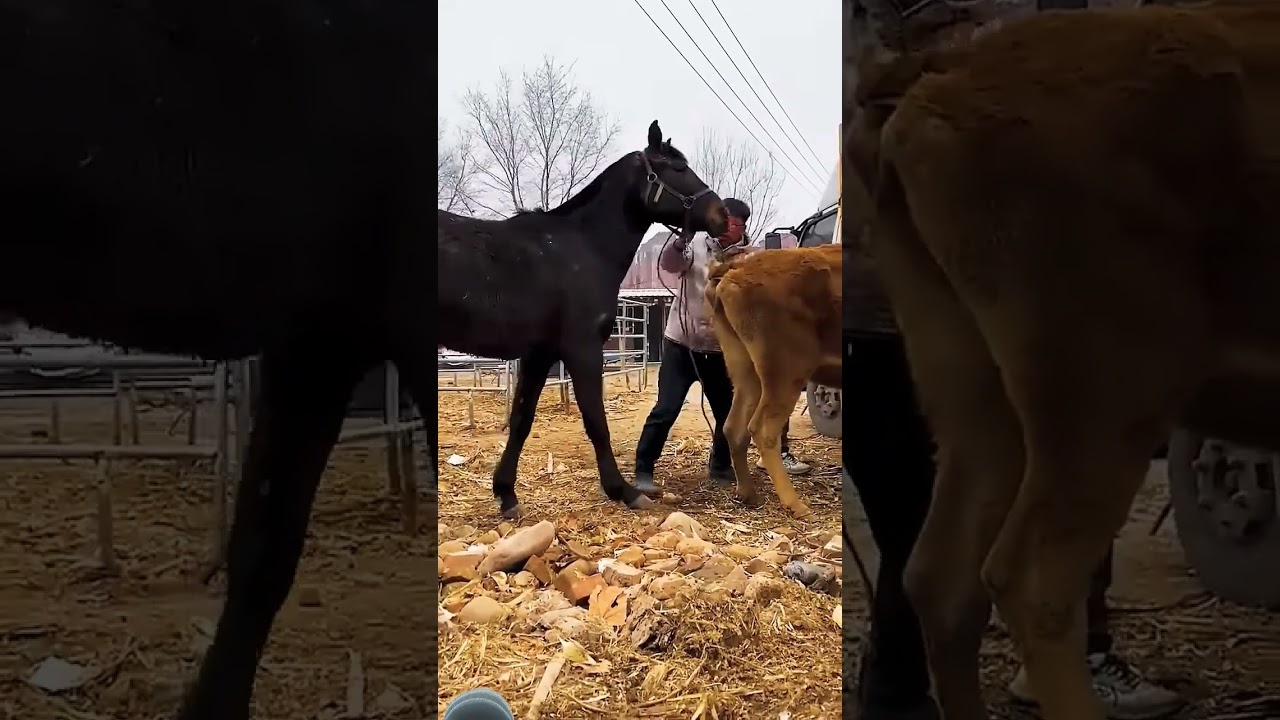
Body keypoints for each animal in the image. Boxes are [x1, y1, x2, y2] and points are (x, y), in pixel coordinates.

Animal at [438, 120, 729, 518]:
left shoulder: (539, 355)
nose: (723, 215)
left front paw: (506, 494)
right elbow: (595, 422)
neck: (584, 248)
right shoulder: (583, 350)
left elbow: (521, 421)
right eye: (679, 168)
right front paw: (623, 491)